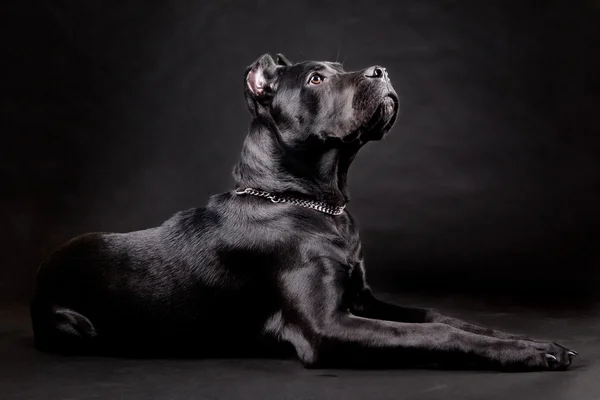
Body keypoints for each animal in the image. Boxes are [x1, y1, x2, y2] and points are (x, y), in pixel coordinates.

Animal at [31, 54, 576, 370]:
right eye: (316, 78)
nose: (382, 71)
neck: (311, 203)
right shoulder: (328, 327)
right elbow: (431, 333)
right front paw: (532, 353)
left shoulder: (362, 299)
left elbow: (442, 317)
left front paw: (531, 340)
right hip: (71, 325)